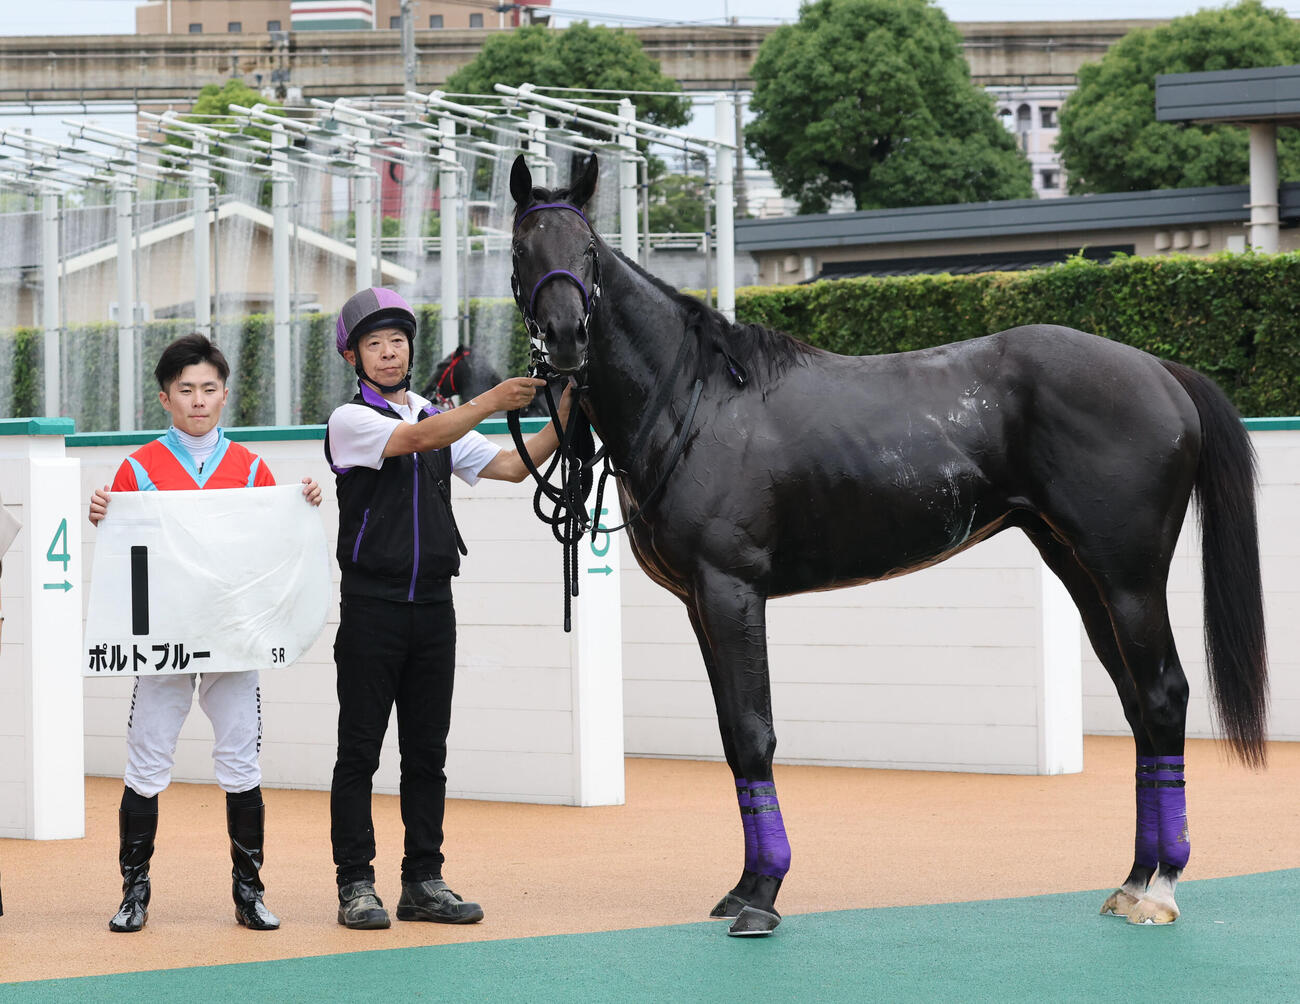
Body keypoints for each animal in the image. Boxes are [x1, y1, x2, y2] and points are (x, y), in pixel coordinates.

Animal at [508, 153, 1267, 937]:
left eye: (588, 251)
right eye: (520, 250)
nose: (564, 338)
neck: (697, 398)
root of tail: (1160, 372)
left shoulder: (731, 590)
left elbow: (754, 731)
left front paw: (763, 893)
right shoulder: (699, 602)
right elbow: (730, 736)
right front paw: (743, 885)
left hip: (1130, 577)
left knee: (1165, 694)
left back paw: (1162, 884)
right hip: (1082, 573)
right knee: (1139, 705)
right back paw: (1136, 876)